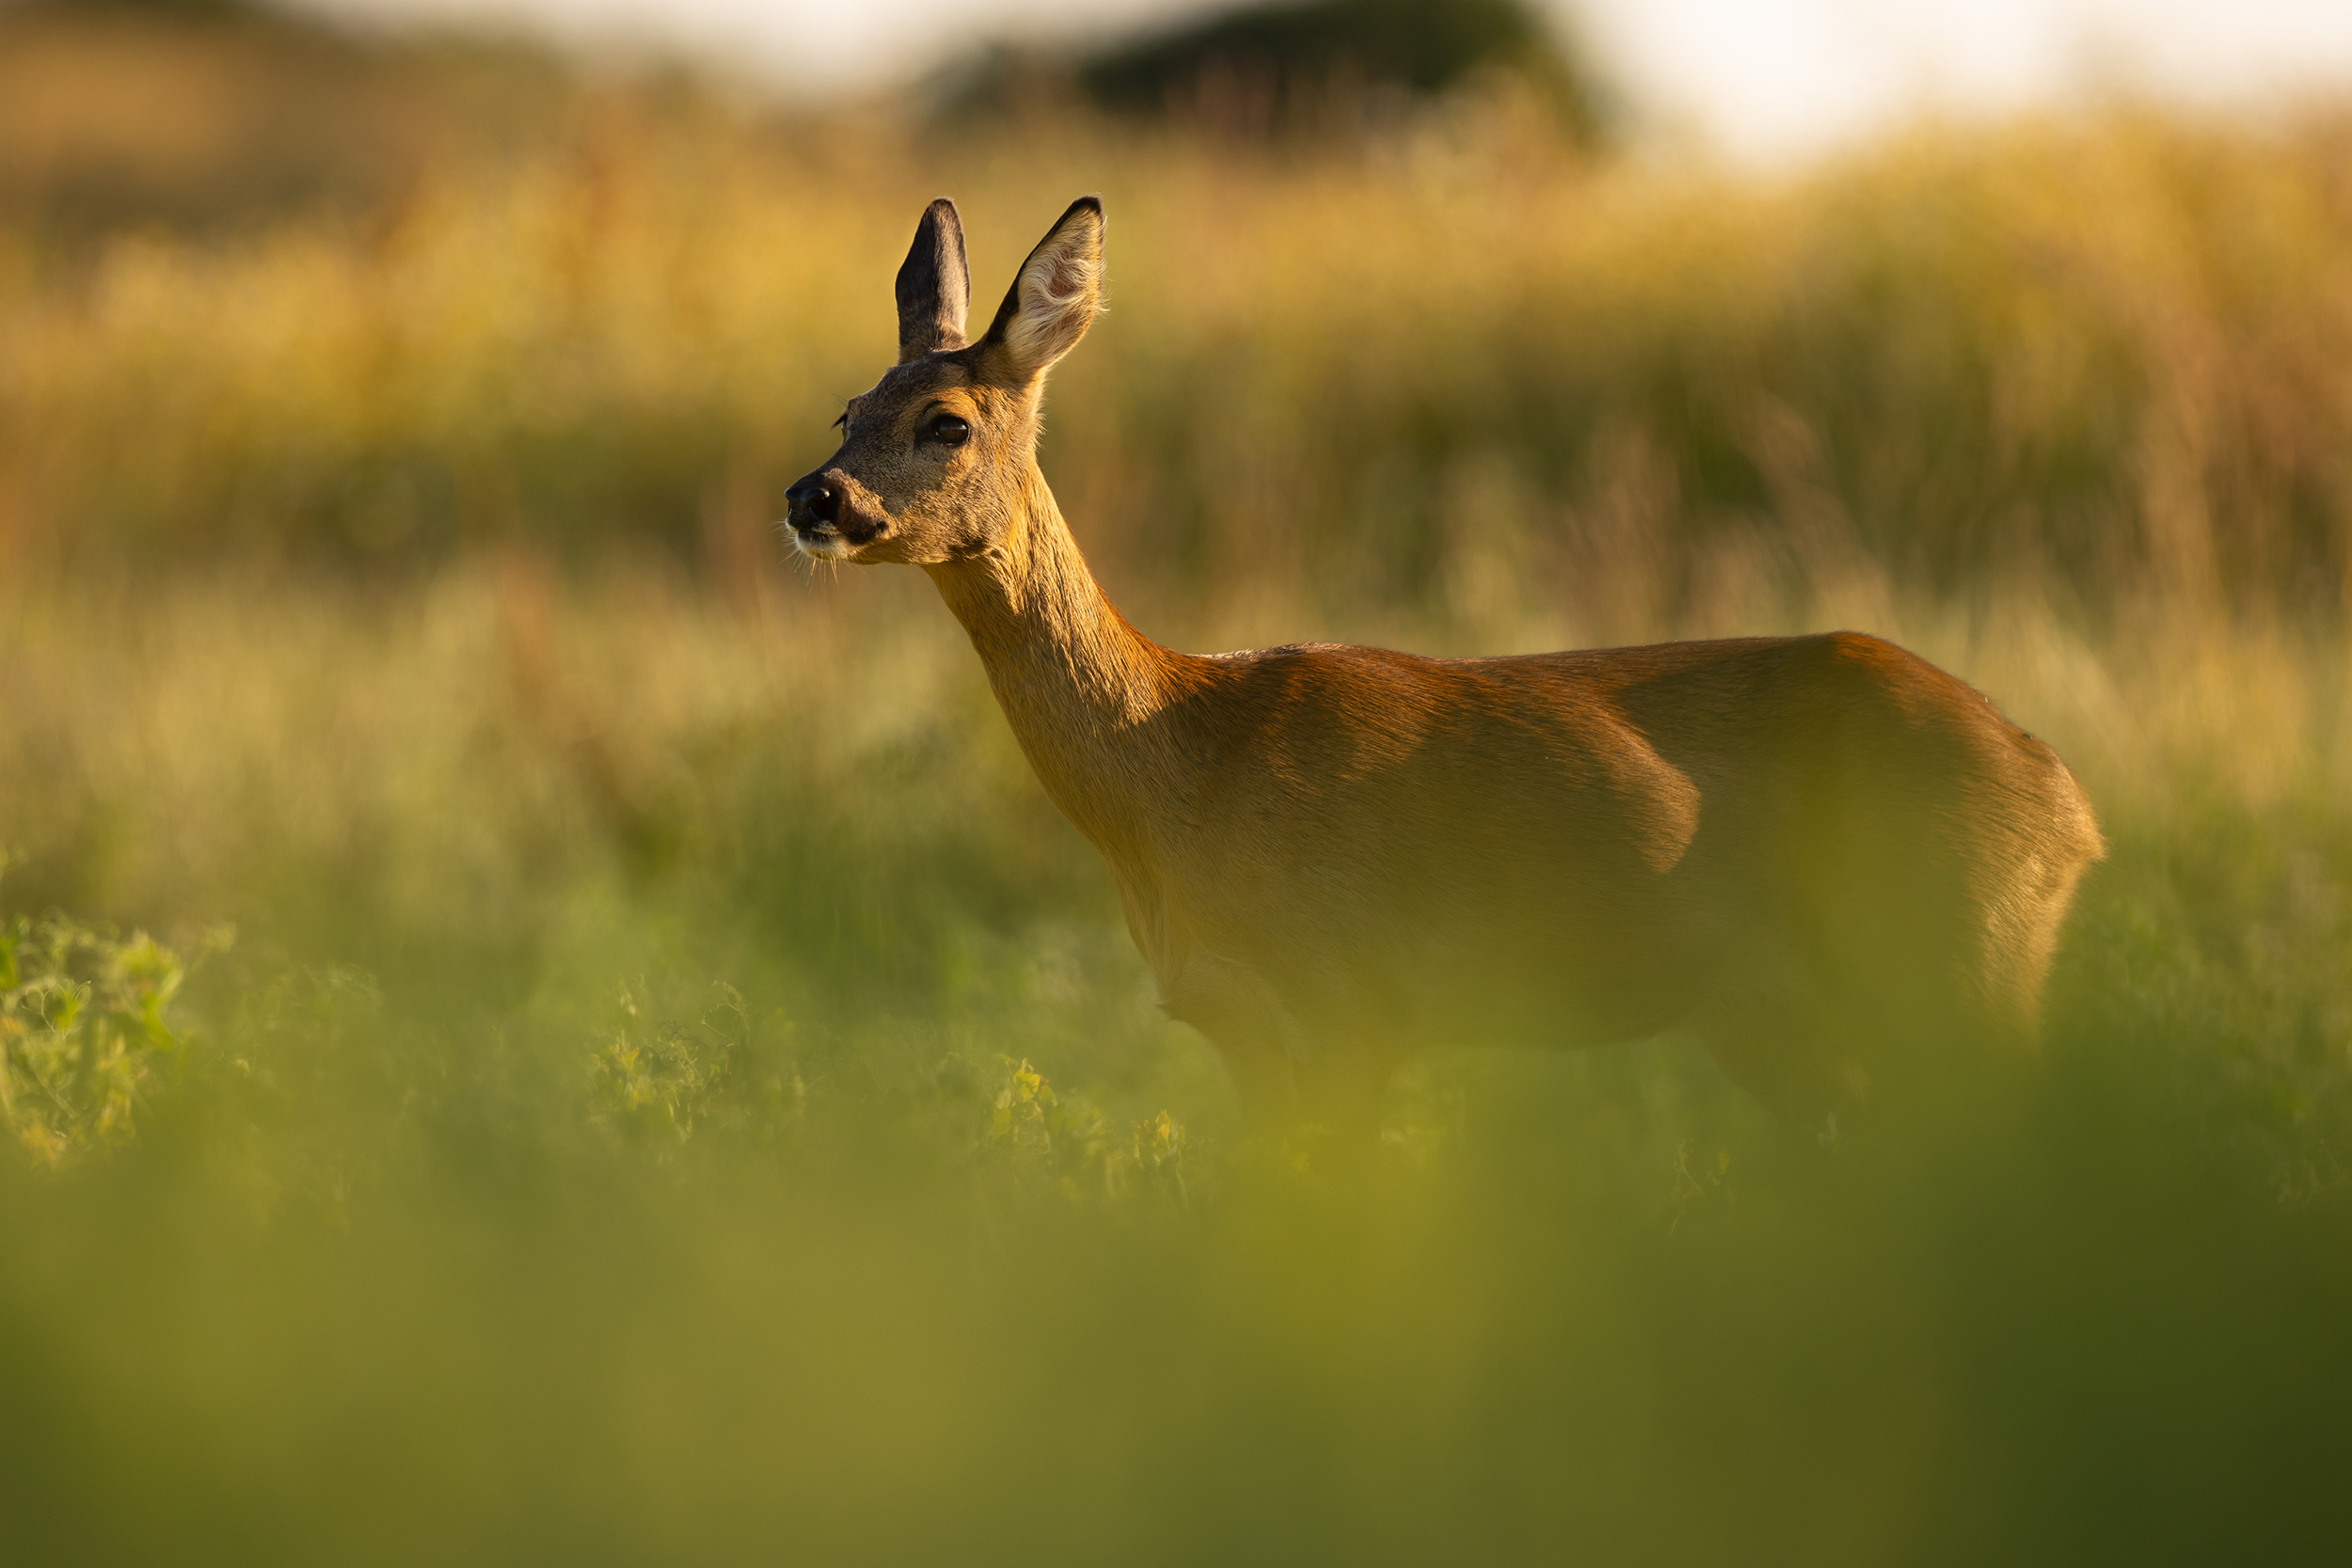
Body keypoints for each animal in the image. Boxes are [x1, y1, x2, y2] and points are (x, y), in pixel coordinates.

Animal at [781, 196, 2107, 1142]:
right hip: (1795, 1013)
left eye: (947, 420)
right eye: (848, 408)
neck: (1177, 761)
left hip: (1960, 953)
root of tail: (2068, 801)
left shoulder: (1351, 1004)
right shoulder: (1251, 1036)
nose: (813, 495)